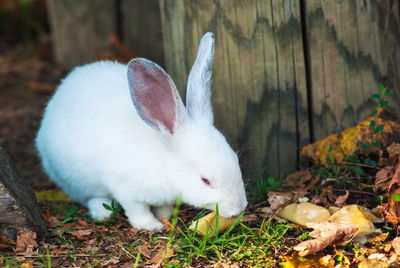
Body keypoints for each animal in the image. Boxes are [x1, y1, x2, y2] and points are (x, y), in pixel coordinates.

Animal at [36, 33, 247, 230]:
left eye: (236, 162)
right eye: (205, 180)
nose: (238, 208)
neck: (163, 159)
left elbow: (164, 206)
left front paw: (165, 216)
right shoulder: (125, 189)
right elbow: (137, 210)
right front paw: (151, 225)